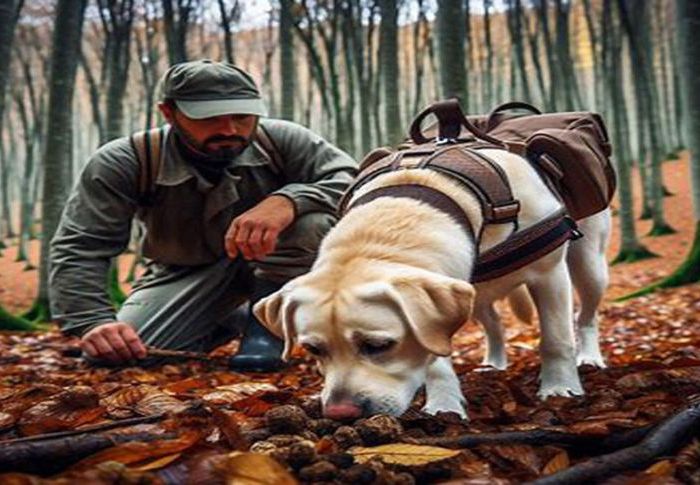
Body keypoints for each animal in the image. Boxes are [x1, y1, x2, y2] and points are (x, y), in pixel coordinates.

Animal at [254, 147, 608, 420]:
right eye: (314, 349)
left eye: (378, 345)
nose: (341, 415)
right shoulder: (435, 314)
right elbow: (435, 361)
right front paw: (444, 406)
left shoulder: (549, 274)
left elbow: (556, 339)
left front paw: (560, 389)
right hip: (474, 295)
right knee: (494, 324)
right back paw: (493, 365)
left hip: (590, 266)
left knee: (585, 316)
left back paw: (590, 358)